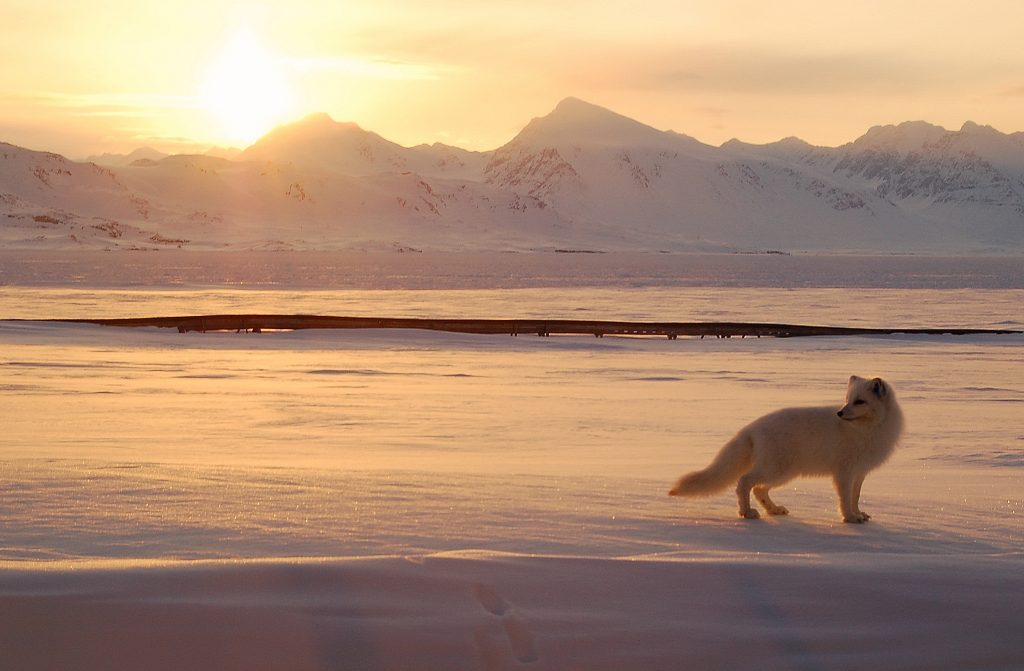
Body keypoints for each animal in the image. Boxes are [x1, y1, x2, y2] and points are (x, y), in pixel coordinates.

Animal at [671, 374, 905, 522]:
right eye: (847, 400)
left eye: (859, 401)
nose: (839, 413)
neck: (867, 429)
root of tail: (751, 427)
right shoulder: (844, 472)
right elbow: (845, 499)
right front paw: (849, 518)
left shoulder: (860, 472)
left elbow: (855, 497)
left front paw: (859, 514)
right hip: (777, 470)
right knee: (745, 482)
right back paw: (747, 512)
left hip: (784, 473)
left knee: (759, 489)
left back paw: (773, 509)